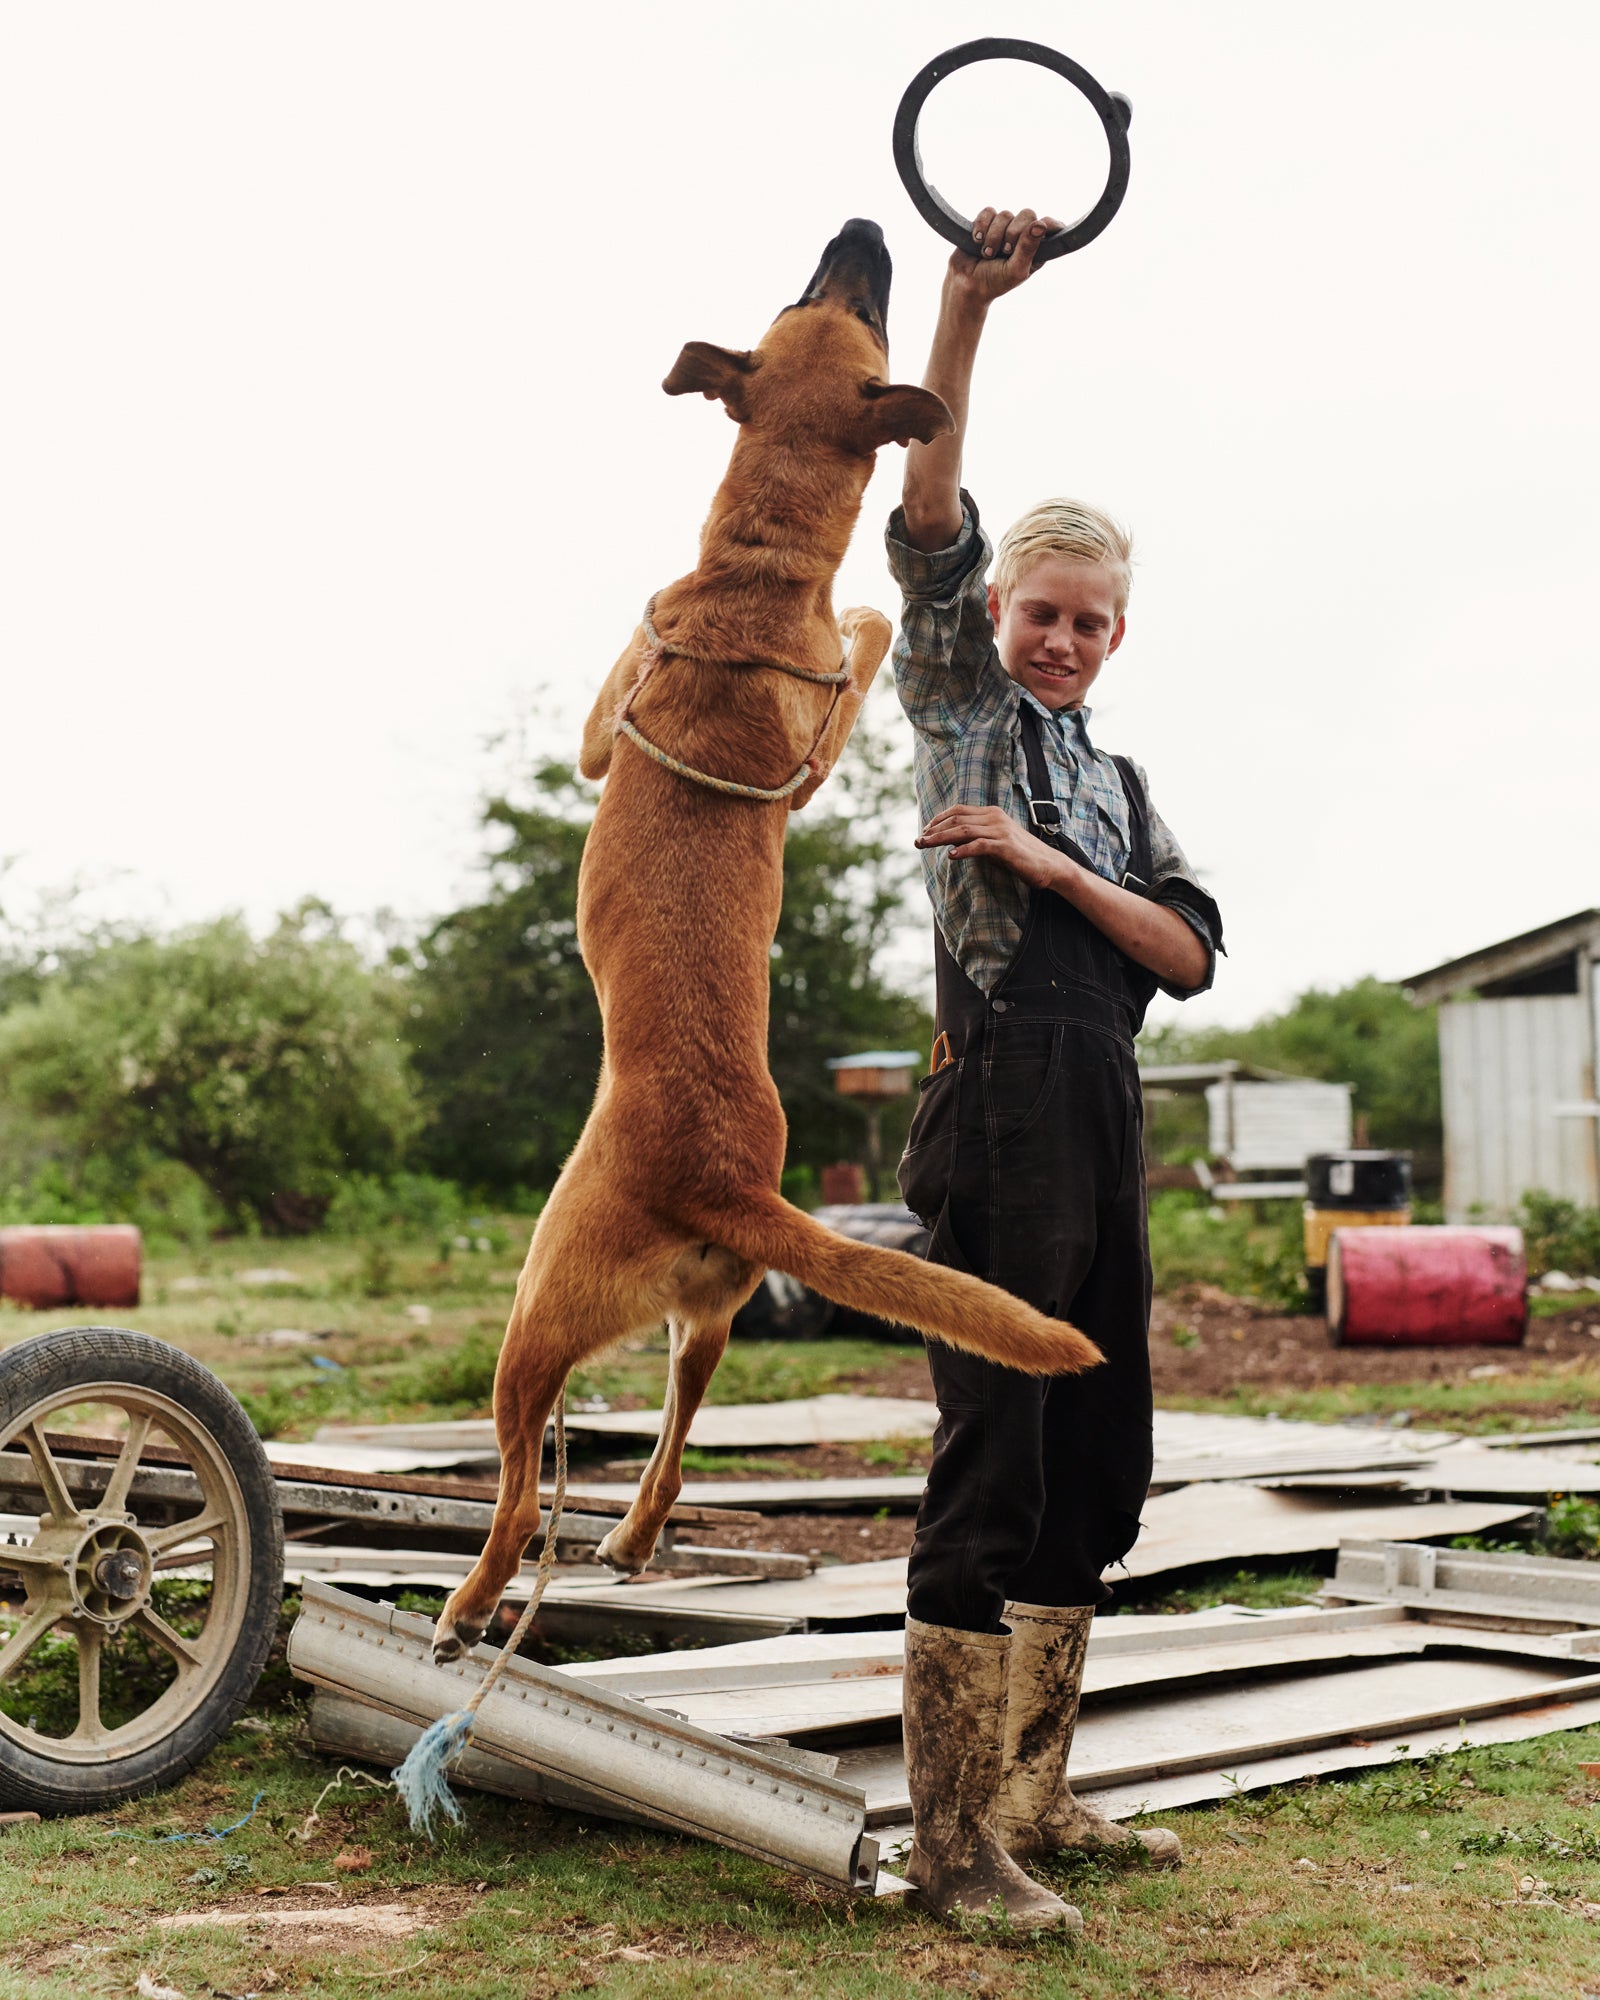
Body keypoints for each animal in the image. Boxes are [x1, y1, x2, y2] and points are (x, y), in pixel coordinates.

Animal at [432, 219, 1096, 1664]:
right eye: (824, 294)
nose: (866, 228)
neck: (764, 560)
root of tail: (725, 1179)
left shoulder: (611, 712)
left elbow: (867, 623)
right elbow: (863, 634)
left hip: (535, 1312)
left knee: (515, 1486)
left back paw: (469, 1605)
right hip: (713, 1317)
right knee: (679, 1427)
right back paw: (630, 1538)